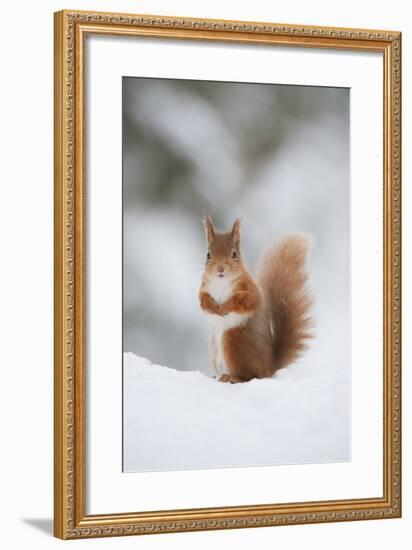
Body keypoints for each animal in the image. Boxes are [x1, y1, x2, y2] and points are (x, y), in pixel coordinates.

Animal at [199, 216, 312, 384]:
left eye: (234, 254)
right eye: (208, 254)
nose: (220, 268)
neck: (221, 282)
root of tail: (269, 366)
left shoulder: (250, 291)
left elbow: (245, 301)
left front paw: (225, 307)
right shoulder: (204, 288)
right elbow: (202, 301)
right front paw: (212, 307)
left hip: (233, 339)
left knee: (249, 376)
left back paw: (232, 377)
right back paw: (217, 376)